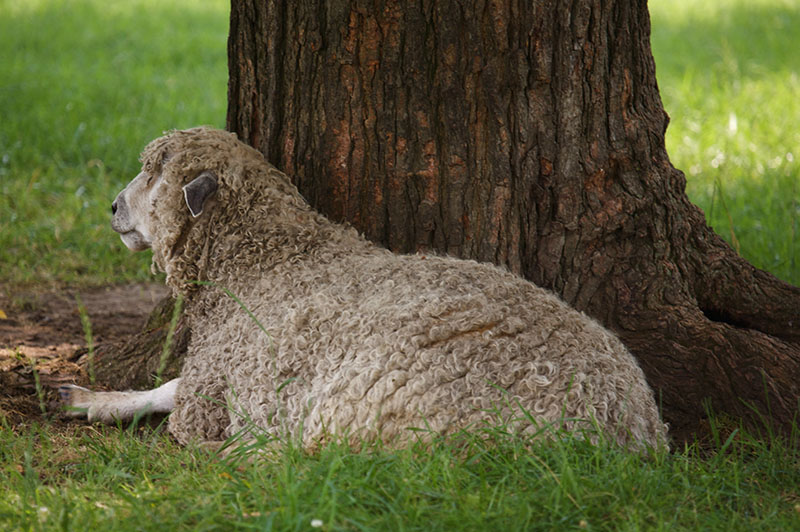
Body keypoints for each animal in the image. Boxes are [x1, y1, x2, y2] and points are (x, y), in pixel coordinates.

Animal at [59, 127, 668, 450]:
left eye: (155, 172)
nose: (112, 208)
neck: (270, 259)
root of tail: (627, 430)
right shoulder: (215, 372)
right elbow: (165, 386)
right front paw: (90, 401)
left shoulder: (217, 378)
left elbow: (179, 401)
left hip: (369, 400)